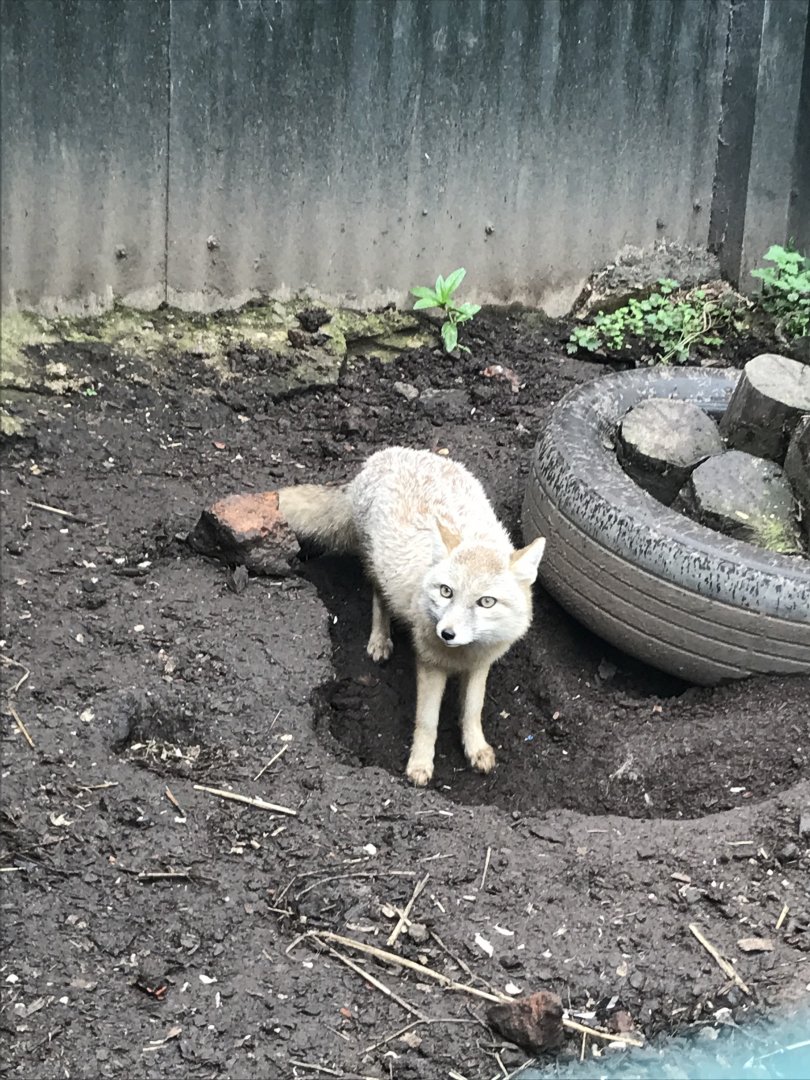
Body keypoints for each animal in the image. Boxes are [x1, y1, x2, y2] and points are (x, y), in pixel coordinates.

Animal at [278, 447, 546, 786]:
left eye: (486, 602)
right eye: (446, 592)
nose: (447, 633)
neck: (462, 655)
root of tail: (390, 453)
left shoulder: (481, 664)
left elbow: (472, 710)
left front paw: (476, 748)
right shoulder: (430, 665)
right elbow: (427, 721)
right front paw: (419, 763)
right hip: (378, 570)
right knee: (380, 601)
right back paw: (380, 639)